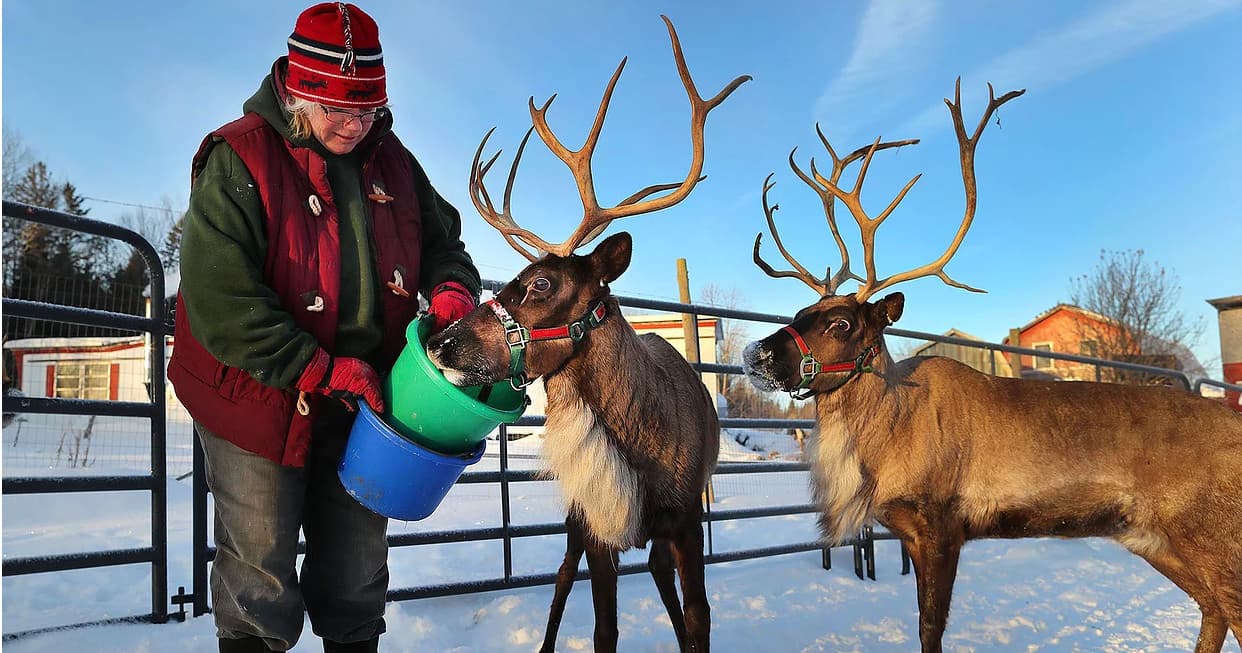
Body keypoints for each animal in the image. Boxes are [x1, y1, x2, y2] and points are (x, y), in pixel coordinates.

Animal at [425, 16, 748, 653]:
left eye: (541, 282)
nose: (443, 341)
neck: (643, 451)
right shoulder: (598, 526)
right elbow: (603, 627)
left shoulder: (687, 522)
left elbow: (699, 618)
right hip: (577, 514)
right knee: (559, 578)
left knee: (655, 571)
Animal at [742, 79, 1242, 653]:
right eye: (801, 311)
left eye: (842, 323)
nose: (755, 354)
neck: (885, 440)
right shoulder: (909, 530)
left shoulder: (942, 525)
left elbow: (930, 628)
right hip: (1152, 536)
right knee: (1213, 609)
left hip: (1212, 534)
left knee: (1227, 608)